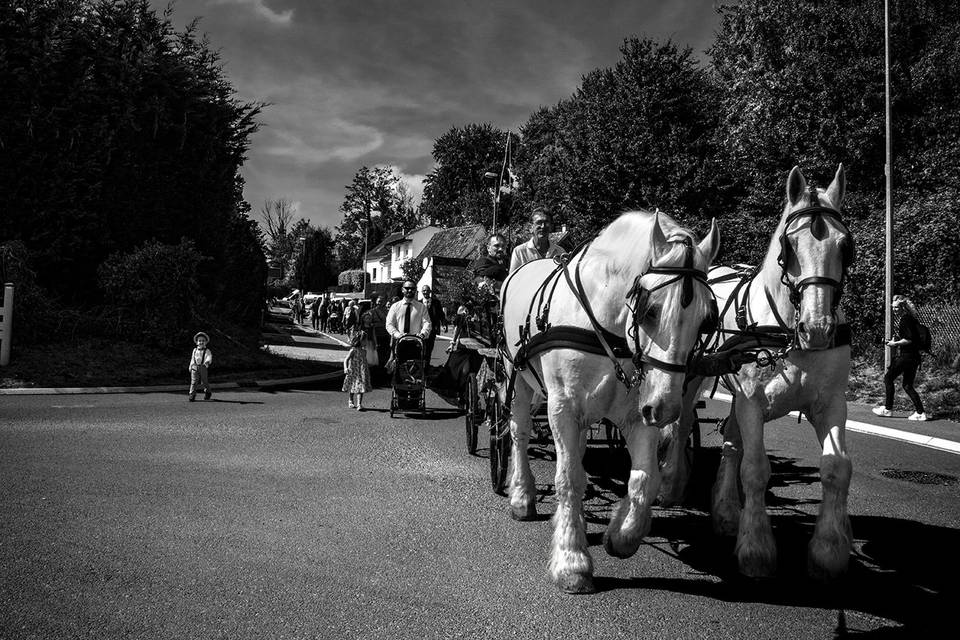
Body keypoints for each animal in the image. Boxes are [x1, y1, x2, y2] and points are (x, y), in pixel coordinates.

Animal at [502, 211, 720, 596]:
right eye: (650, 310)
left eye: (706, 320)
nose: (667, 409)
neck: (605, 326)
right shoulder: (562, 407)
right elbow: (568, 478)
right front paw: (572, 562)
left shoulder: (639, 412)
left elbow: (644, 479)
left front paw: (623, 535)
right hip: (519, 380)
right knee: (520, 434)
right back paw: (522, 496)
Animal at [660, 164, 856, 580]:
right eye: (789, 247)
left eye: (845, 246)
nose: (818, 329)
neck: (787, 331)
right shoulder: (752, 401)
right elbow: (755, 469)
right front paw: (756, 548)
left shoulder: (831, 404)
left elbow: (836, 468)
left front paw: (829, 550)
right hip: (692, 377)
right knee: (682, 425)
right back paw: (670, 484)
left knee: (731, 444)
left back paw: (725, 511)